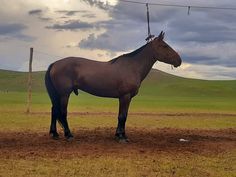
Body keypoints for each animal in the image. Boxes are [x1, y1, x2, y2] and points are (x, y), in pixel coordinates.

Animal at [45, 31, 182, 142]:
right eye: (164, 46)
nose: (179, 60)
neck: (132, 67)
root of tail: (54, 64)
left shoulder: (127, 98)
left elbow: (123, 116)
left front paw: (120, 134)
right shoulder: (125, 96)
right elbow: (122, 116)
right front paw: (121, 137)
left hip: (57, 95)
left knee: (54, 110)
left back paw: (55, 134)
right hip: (64, 94)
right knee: (62, 112)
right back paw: (68, 135)